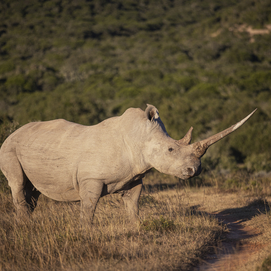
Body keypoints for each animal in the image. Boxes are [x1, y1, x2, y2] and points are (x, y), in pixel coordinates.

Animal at [0, 105, 256, 222]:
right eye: (171, 149)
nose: (195, 170)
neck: (140, 137)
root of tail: (11, 134)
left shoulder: (135, 177)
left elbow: (133, 204)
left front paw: (137, 226)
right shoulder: (91, 178)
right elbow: (88, 207)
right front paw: (86, 230)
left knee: (32, 190)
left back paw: (28, 223)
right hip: (9, 149)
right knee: (18, 184)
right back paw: (26, 226)